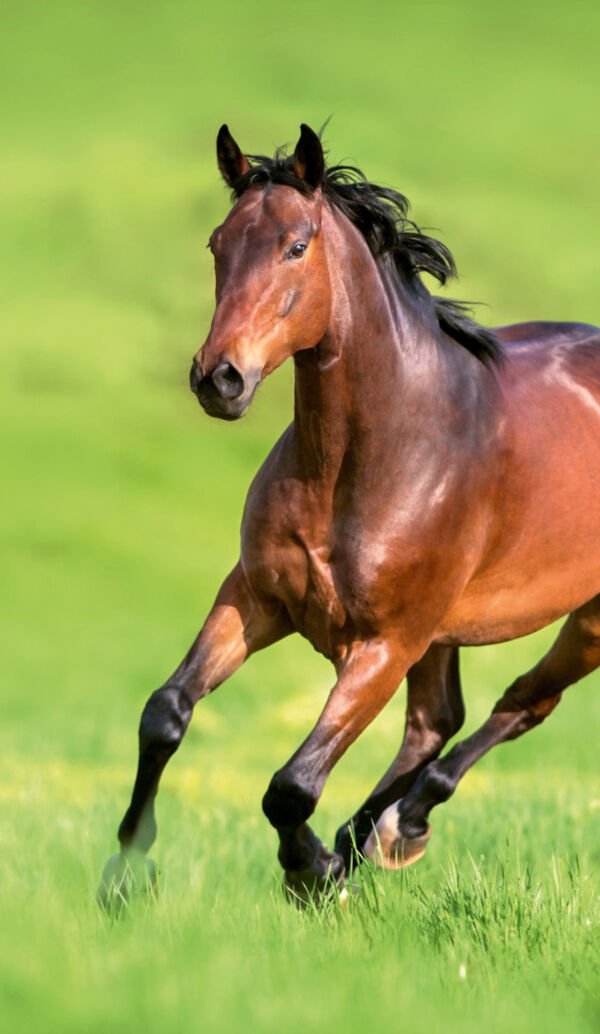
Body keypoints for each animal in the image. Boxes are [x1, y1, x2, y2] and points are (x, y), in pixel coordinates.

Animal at [99, 123, 600, 906]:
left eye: (297, 245)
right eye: (216, 243)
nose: (219, 379)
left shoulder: (385, 644)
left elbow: (292, 785)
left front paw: (312, 871)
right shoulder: (258, 597)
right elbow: (166, 714)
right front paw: (124, 875)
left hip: (579, 620)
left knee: (519, 705)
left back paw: (395, 829)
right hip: (440, 632)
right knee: (436, 722)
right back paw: (375, 835)